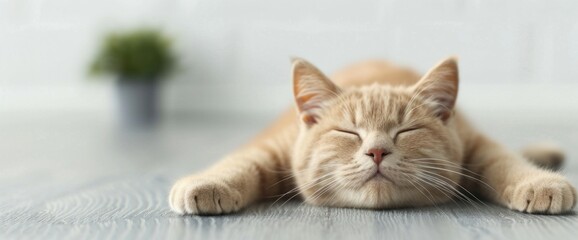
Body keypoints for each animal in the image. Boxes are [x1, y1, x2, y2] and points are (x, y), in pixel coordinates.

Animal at [169, 57, 572, 215]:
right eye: (348, 132)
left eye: (407, 130)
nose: (377, 152)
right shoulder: (274, 147)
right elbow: (243, 161)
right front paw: (207, 183)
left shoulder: (472, 142)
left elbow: (503, 159)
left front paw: (540, 182)